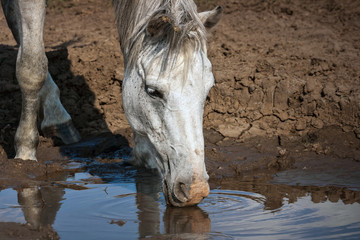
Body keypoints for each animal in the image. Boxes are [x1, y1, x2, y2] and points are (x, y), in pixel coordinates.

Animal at [1, 0, 222, 206]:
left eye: (207, 90)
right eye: (153, 91)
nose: (195, 190)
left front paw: (143, 153)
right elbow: (31, 67)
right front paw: (25, 152)